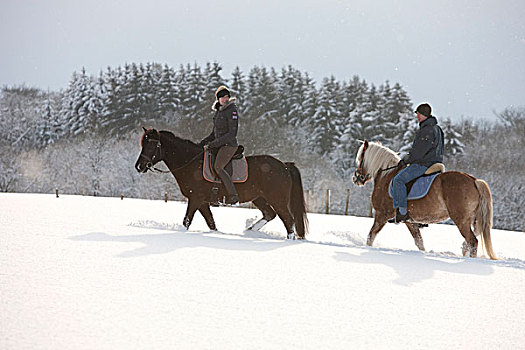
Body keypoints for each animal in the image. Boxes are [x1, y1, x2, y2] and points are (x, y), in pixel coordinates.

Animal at [133, 129, 310, 241]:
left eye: (151, 145)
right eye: (143, 144)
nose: (139, 166)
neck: (191, 163)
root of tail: (285, 165)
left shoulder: (195, 199)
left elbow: (186, 221)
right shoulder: (202, 202)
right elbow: (211, 223)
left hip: (277, 199)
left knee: (288, 220)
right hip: (259, 198)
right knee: (270, 214)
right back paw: (249, 231)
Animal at [352, 140, 496, 260]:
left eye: (361, 158)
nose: (356, 178)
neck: (387, 174)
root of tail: (474, 180)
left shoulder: (382, 215)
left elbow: (371, 236)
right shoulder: (410, 221)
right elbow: (419, 241)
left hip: (462, 221)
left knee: (473, 242)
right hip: (473, 220)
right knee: (471, 240)